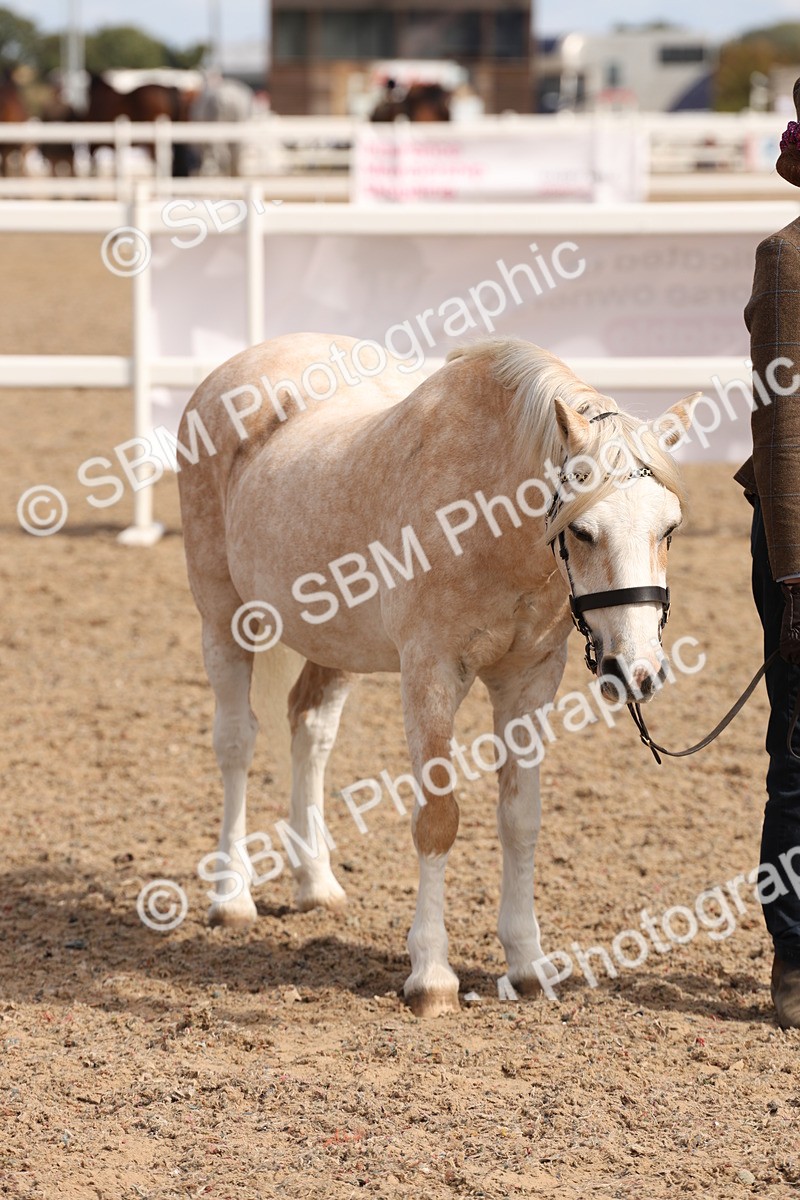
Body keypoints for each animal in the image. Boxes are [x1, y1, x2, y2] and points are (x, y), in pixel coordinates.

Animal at [177, 334, 697, 1017]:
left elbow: (520, 820)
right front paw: (431, 975)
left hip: (332, 643)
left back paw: (316, 884)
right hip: (223, 621)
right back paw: (231, 896)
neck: (484, 514)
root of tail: (231, 370)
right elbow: (438, 818)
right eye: (583, 531)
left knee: (310, 733)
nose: (636, 670)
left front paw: (528, 964)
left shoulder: (529, 680)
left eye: (669, 528)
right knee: (237, 744)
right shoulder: (430, 674)